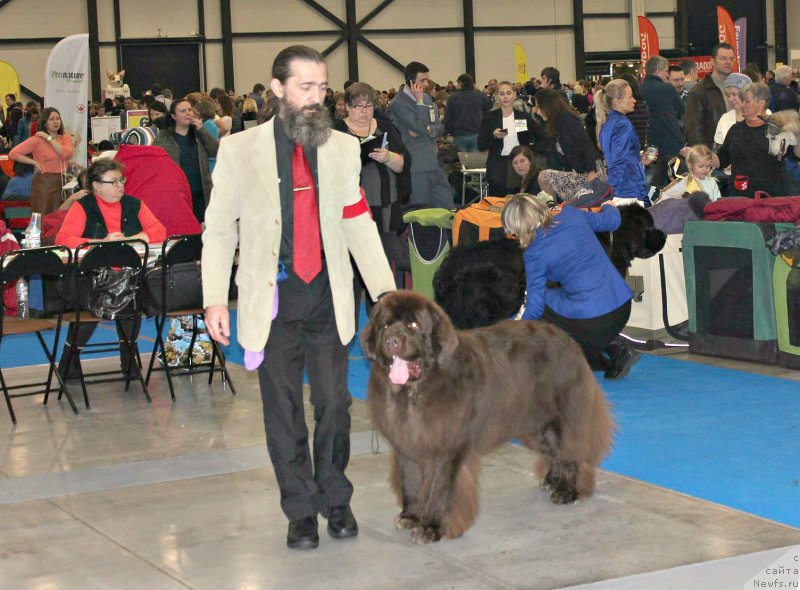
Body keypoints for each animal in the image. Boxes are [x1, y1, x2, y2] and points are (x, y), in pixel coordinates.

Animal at [360, 292, 616, 544]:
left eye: (412, 325)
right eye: (385, 325)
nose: (391, 341)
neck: (416, 391)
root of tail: (569, 340)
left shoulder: (447, 449)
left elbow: (439, 489)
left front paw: (430, 528)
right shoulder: (405, 445)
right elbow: (410, 483)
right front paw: (410, 516)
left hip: (563, 417)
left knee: (571, 452)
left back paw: (567, 491)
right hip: (534, 425)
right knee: (553, 451)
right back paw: (552, 480)